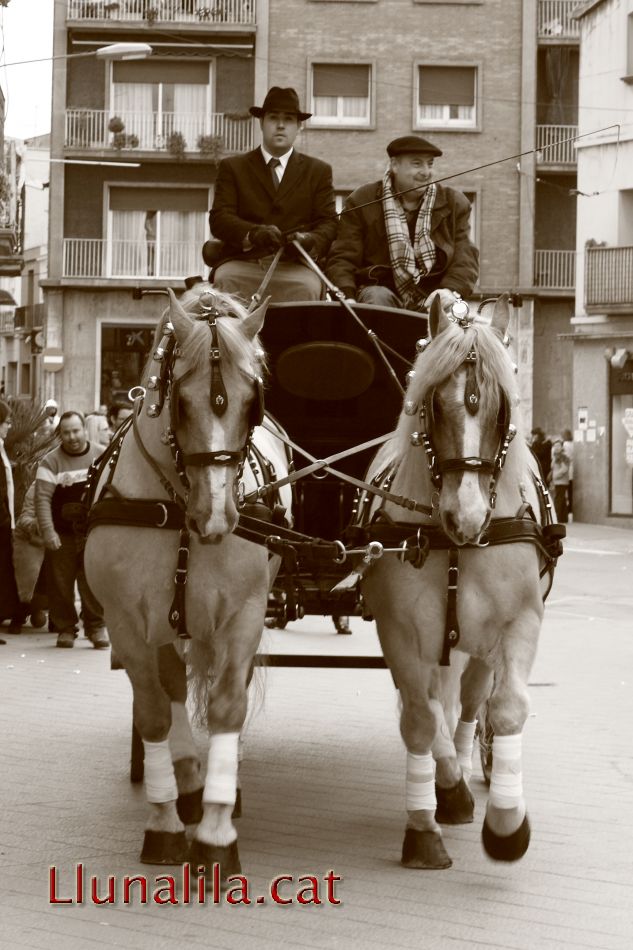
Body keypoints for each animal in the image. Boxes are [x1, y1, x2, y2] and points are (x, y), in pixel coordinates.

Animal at [83, 280, 288, 884]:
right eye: (180, 401)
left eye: (253, 401)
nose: (217, 516)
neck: (176, 508)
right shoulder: (127, 622)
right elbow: (153, 710)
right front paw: (166, 823)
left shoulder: (243, 614)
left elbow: (226, 707)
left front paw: (217, 834)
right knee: (172, 687)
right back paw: (188, 780)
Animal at [358, 296, 556, 872]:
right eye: (433, 405)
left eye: (502, 409)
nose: (464, 516)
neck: (458, 548)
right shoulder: (400, 634)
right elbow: (421, 719)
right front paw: (425, 823)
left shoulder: (518, 624)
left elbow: (506, 708)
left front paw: (507, 826)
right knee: (435, 703)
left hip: (477, 646)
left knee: (468, 703)